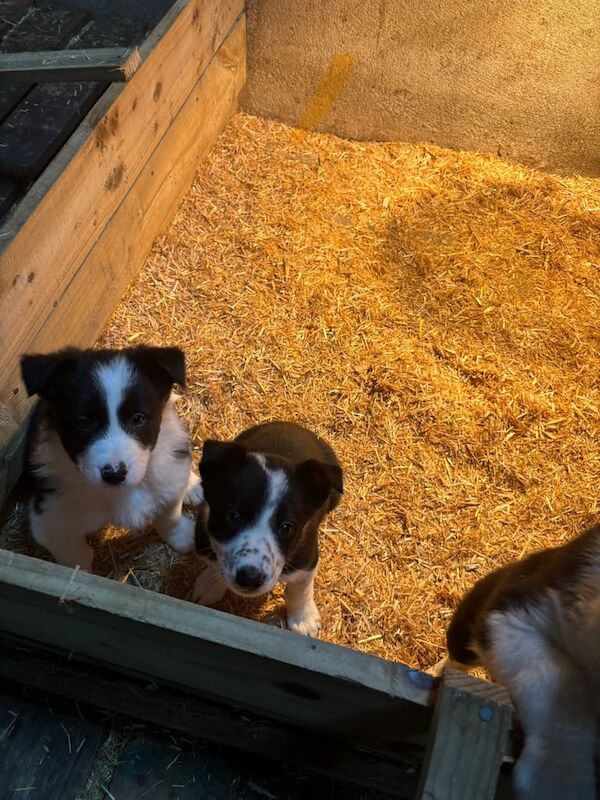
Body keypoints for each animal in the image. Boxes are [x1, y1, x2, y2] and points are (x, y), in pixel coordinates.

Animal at [21, 344, 204, 568]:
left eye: (138, 418)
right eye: (83, 422)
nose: (115, 474)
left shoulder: (168, 479)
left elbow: (169, 514)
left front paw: (182, 536)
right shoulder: (49, 519)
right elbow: (75, 556)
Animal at [192, 418, 342, 636]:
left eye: (287, 527)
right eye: (233, 516)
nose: (250, 578)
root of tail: (293, 425)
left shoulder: (306, 557)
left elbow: (300, 588)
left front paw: (304, 618)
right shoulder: (202, 535)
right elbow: (213, 563)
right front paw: (209, 586)